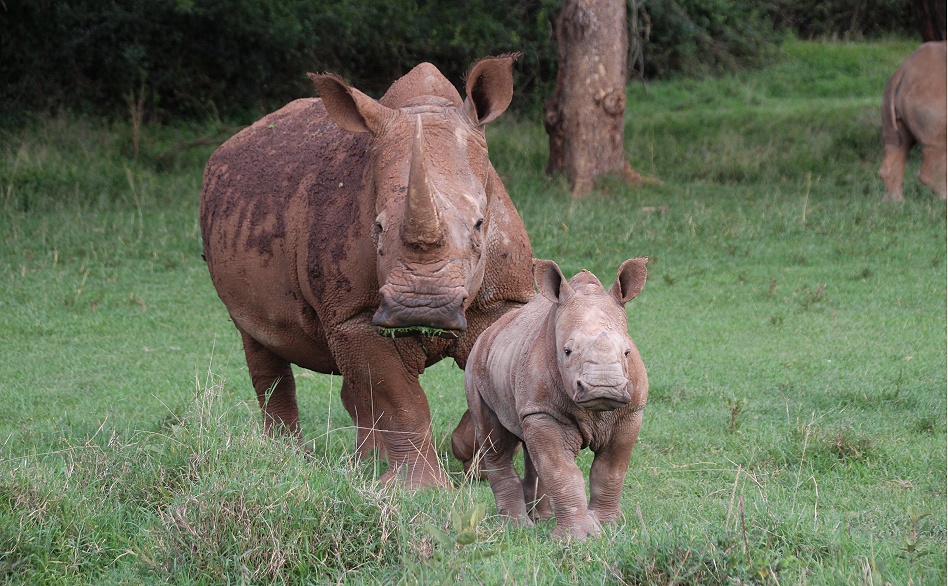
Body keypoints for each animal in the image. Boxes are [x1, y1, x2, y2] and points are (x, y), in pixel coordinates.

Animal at [199, 56, 534, 489]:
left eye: (479, 224)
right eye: (376, 227)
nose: (424, 306)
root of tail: (232, 143)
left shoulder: (505, 301)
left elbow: (490, 381)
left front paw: (468, 457)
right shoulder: (353, 315)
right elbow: (400, 400)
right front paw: (420, 490)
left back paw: (365, 464)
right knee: (260, 344)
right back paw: (289, 459)